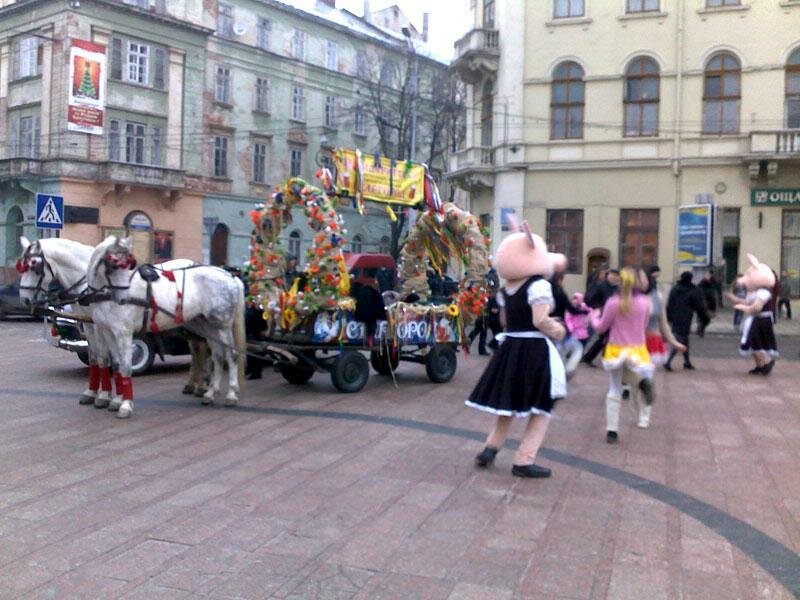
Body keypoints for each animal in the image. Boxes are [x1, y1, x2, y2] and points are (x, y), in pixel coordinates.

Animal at [86, 236, 244, 418]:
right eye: (113, 264)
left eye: (129, 265)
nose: (124, 299)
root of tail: (229, 275)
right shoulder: (107, 332)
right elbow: (118, 366)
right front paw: (117, 400)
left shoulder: (123, 333)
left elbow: (126, 367)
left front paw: (126, 405)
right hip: (209, 327)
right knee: (217, 356)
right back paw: (210, 393)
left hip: (223, 326)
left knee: (231, 356)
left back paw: (231, 394)